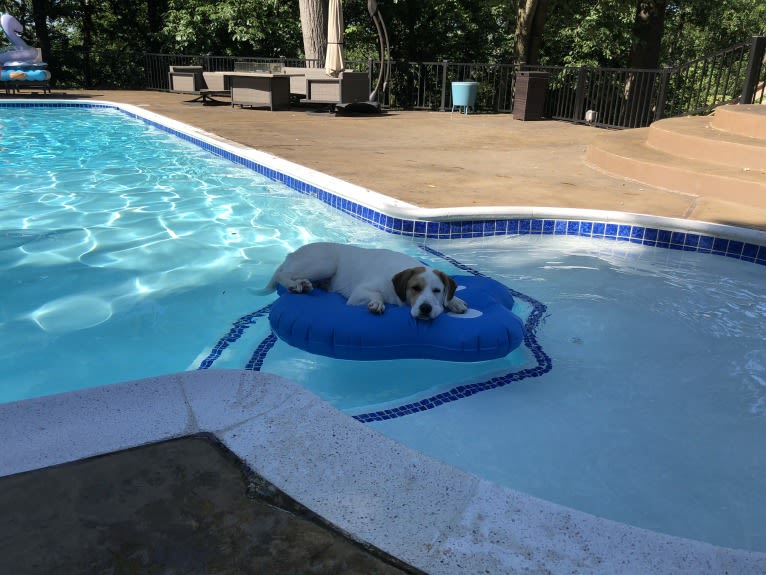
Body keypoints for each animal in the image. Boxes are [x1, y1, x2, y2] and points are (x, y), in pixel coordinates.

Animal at [262, 243, 468, 322]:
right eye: (415, 288)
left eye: (437, 290)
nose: (425, 308)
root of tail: (292, 253)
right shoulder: (359, 293)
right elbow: (375, 295)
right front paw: (376, 303)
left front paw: (455, 302)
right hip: (324, 263)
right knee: (283, 274)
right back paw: (292, 284)